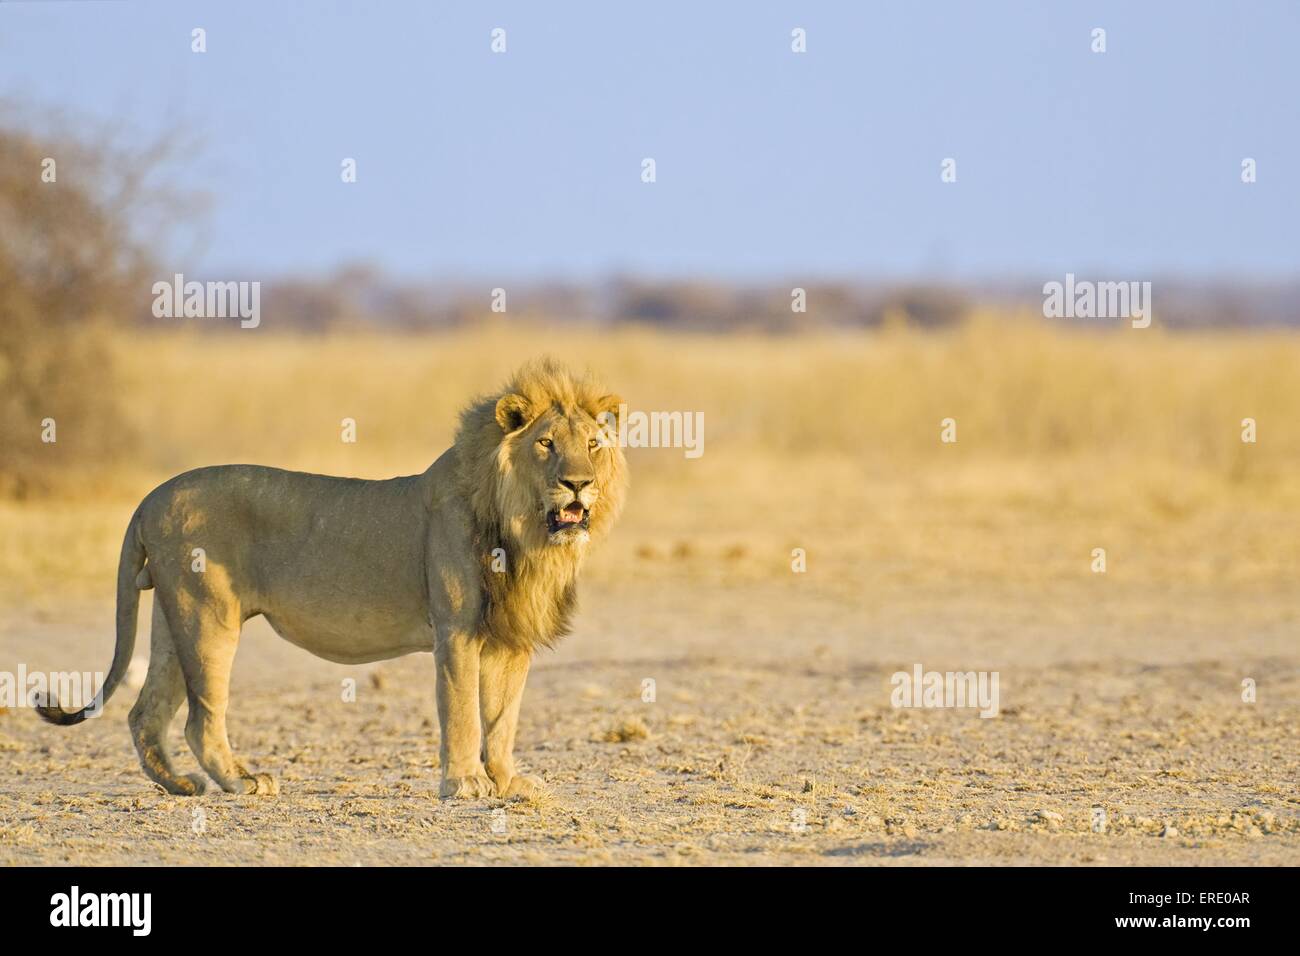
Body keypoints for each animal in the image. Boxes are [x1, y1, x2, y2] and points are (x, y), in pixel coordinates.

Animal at [36, 358, 627, 800]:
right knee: (200, 720)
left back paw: (180, 785)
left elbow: (502, 716)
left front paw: (507, 782)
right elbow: (463, 711)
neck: (526, 533)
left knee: (146, 712)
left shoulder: (510, 637)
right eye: (546, 444)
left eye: (593, 446)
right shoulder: (457, 630)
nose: (579, 484)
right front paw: (464, 784)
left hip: (170, 615)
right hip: (206, 615)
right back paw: (242, 782)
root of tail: (152, 497)